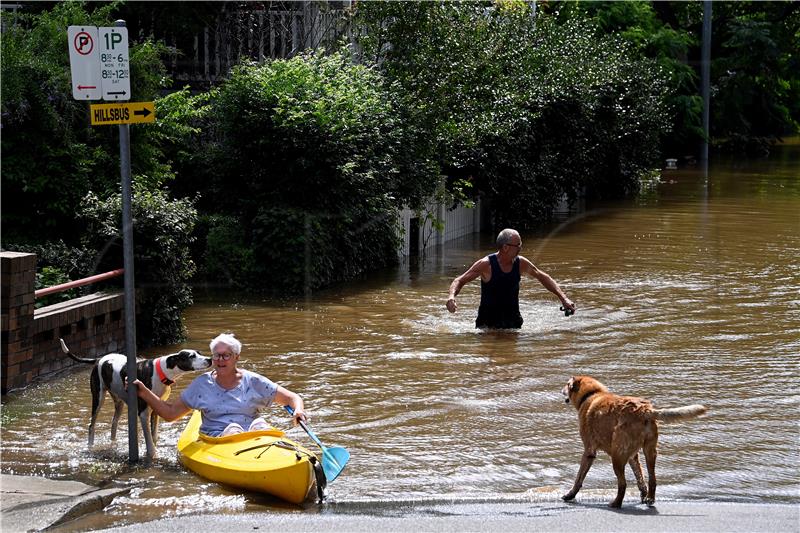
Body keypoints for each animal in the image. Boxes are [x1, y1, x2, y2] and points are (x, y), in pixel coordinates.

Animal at [59, 336, 211, 458]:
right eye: (191, 356)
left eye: (199, 353)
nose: (209, 359)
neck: (162, 371)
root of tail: (99, 359)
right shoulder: (143, 412)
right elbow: (149, 441)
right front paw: (151, 456)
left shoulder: (157, 409)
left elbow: (154, 436)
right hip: (98, 398)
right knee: (91, 425)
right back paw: (90, 447)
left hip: (119, 403)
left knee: (113, 424)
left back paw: (113, 444)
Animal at [564, 374, 708, 508]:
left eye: (567, 384)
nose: (561, 390)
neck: (591, 394)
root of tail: (645, 410)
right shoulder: (633, 456)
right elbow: (640, 480)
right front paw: (643, 496)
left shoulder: (589, 451)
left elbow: (579, 478)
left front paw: (570, 495)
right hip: (649, 452)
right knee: (652, 479)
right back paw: (649, 499)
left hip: (617, 457)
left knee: (623, 484)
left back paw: (616, 503)